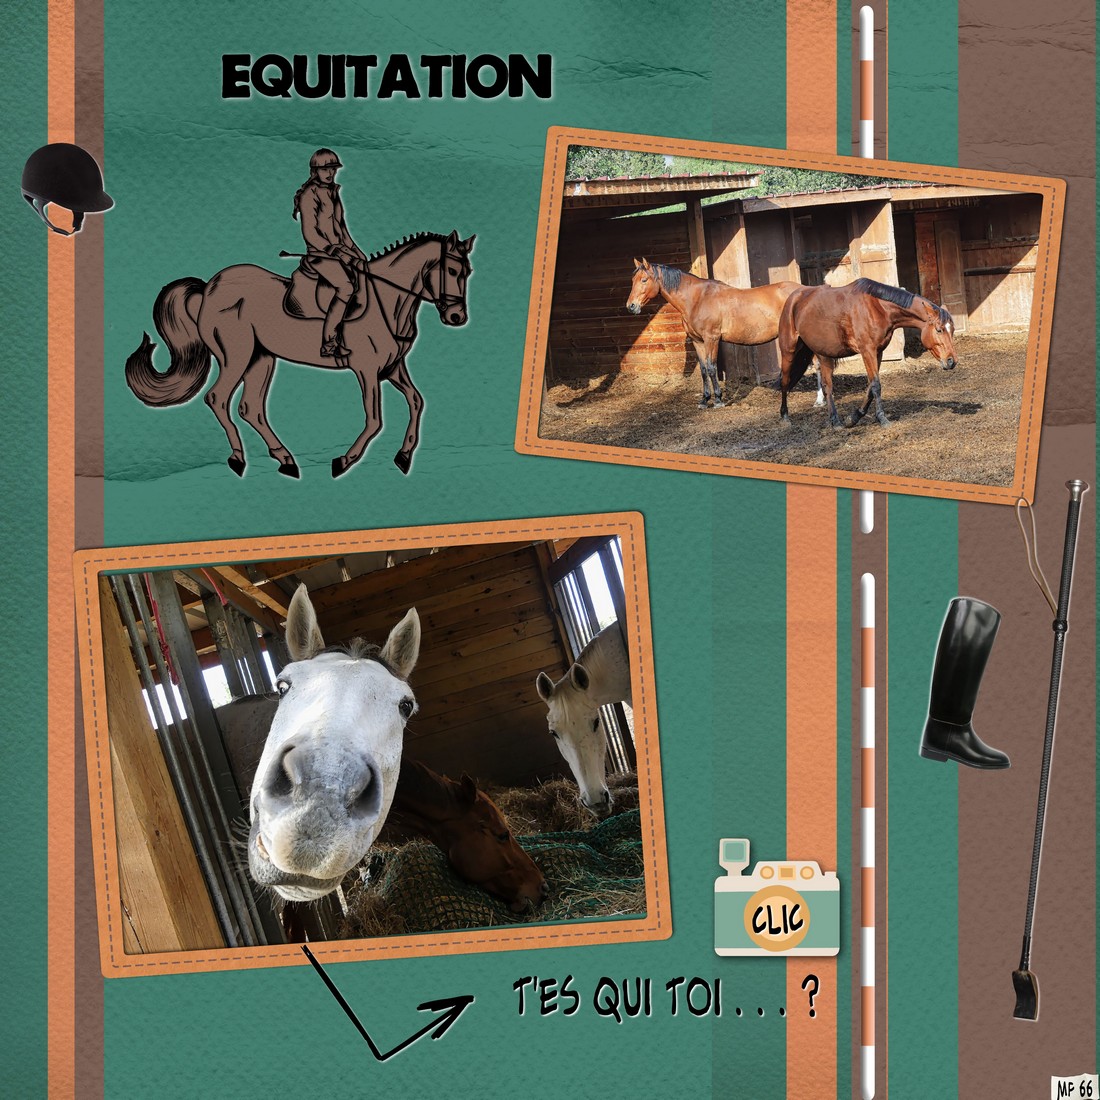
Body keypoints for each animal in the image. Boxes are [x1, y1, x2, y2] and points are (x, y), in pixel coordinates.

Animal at [124, 230, 475, 479]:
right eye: (451, 269)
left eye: (468, 272)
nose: (457, 317)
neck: (387, 302)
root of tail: (209, 287)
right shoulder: (366, 369)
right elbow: (375, 419)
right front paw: (344, 461)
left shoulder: (392, 368)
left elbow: (416, 401)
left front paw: (403, 457)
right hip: (237, 355)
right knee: (218, 398)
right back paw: (238, 459)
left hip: (261, 359)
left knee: (251, 408)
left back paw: (286, 460)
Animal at [625, 258, 821, 409]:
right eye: (633, 280)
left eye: (644, 280)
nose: (631, 306)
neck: (697, 299)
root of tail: (806, 291)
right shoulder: (698, 341)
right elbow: (704, 369)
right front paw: (704, 400)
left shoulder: (712, 339)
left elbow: (712, 368)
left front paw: (718, 400)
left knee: (819, 364)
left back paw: (820, 401)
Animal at [777, 277, 958, 428]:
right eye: (939, 330)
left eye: (952, 329)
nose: (952, 361)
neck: (878, 308)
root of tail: (795, 297)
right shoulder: (867, 351)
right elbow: (876, 385)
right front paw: (882, 418)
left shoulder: (878, 352)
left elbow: (870, 385)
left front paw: (854, 417)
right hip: (788, 351)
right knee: (785, 381)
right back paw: (785, 417)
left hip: (824, 354)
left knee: (827, 386)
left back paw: (835, 421)